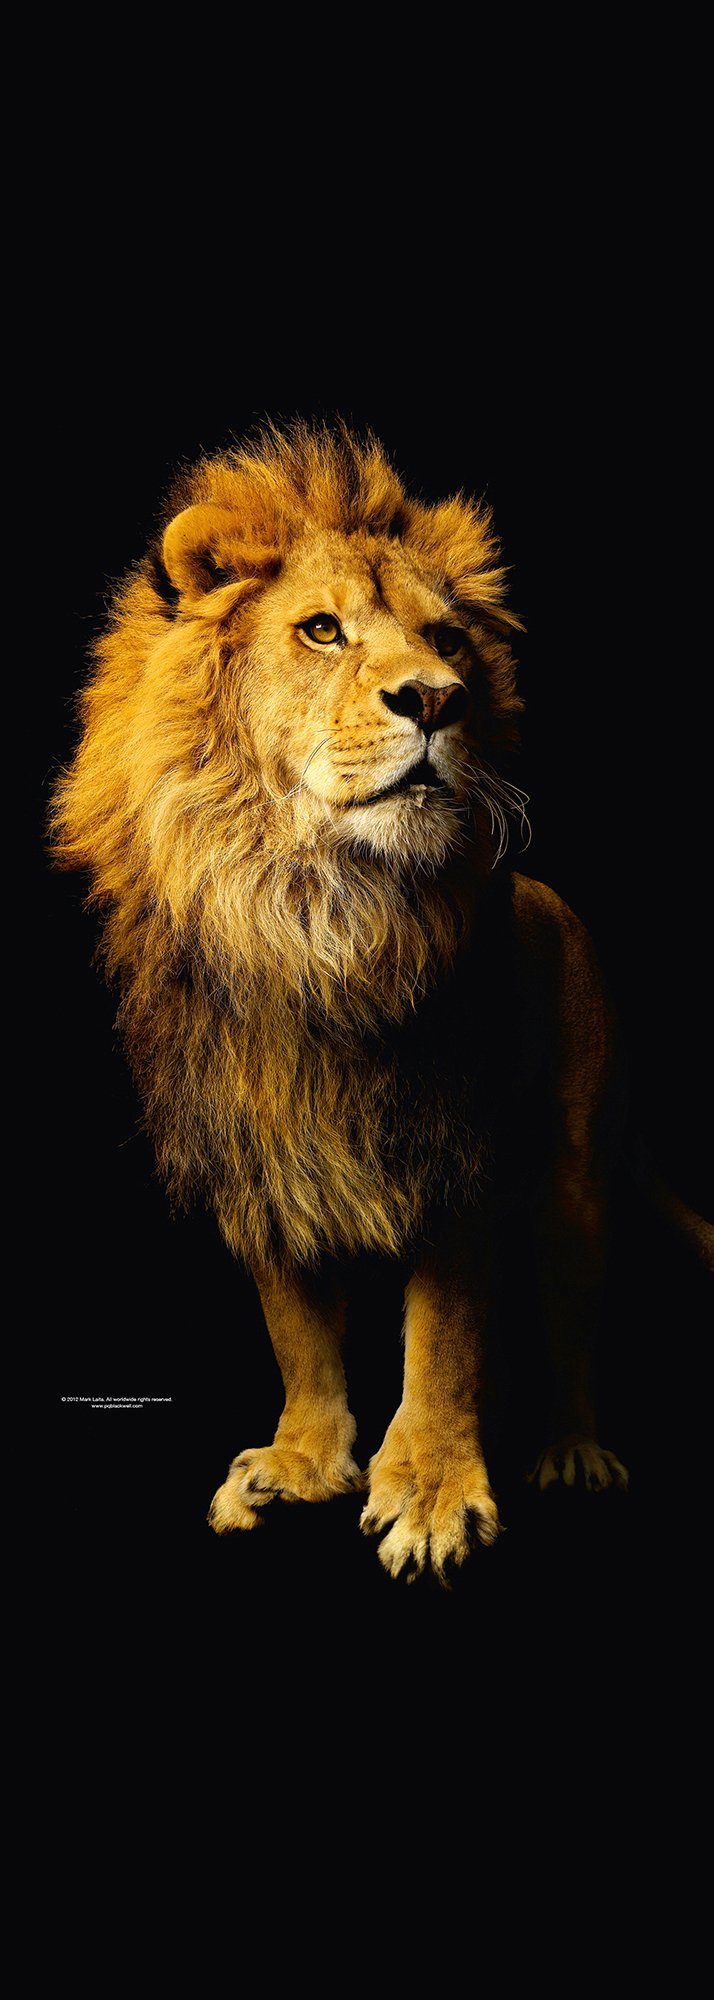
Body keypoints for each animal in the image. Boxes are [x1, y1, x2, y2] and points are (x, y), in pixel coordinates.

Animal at [49, 415, 642, 1581]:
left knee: (570, 1323)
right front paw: (303, 1461)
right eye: (321, 631)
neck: (314, 915)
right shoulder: (252, 1146)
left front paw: (432, 1490)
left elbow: (445, 1337)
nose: (437, 698)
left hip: (573, 1184)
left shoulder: (456, 1145)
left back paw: (572, 1451)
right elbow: (295, 1328)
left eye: (448, 639)